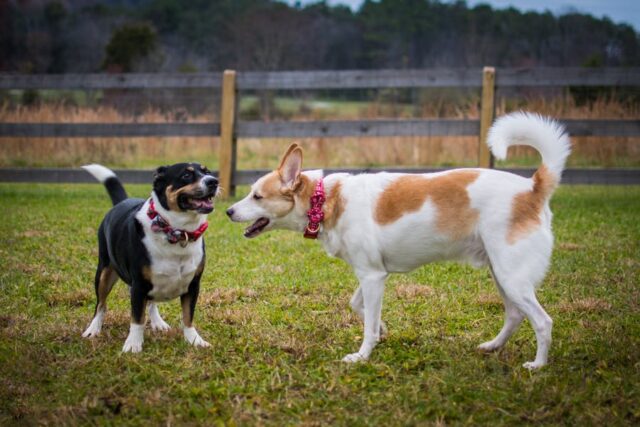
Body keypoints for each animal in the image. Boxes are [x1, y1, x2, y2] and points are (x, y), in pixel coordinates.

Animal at [81, 162, 218, 352]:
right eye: (186, 175)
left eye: (207, 172)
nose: (214, 181)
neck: (176, 232)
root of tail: (122, 202)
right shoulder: (139, 285)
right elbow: (137, 318)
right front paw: (133, 344)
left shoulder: (193, 285)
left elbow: (188, 316)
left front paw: (194, 340)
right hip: (104, 272)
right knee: (101, 305)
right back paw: (93, 329)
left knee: (152, 303)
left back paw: (158, 322)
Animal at [225, 112, 568, 370]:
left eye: (256, 196)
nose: (228, 211)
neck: (324, 200)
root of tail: (532, 187)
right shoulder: (371, 274)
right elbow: (359, 307)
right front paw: (383, 329)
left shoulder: (373, 277)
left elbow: (366, 325)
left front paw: (362, 355)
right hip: (502, 274)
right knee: (514, 315)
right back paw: (493, 346)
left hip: (512, 277)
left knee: (543, 321)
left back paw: (538, 365)